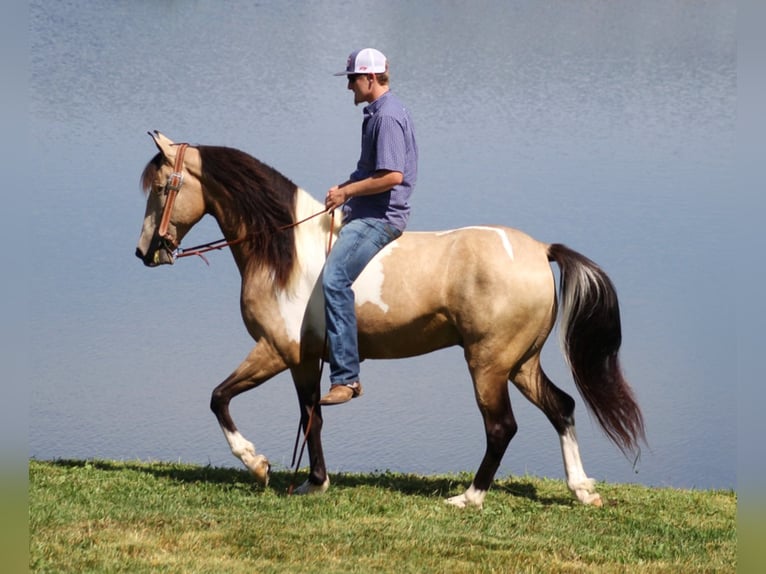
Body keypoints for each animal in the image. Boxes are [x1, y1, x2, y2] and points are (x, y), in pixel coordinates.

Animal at [135, 133, 644, 510]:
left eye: (161, 188)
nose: (145, 252)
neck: (287, 251)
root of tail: (540, 250)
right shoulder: (305, 360)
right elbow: (312, 415)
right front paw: (314, 482)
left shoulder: (276, 351)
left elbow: (220, 398)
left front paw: (257, 464)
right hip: (521, 363)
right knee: (562, 407)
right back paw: (582, 491)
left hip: (488, 365)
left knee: (502, 427)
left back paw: (469, 497)